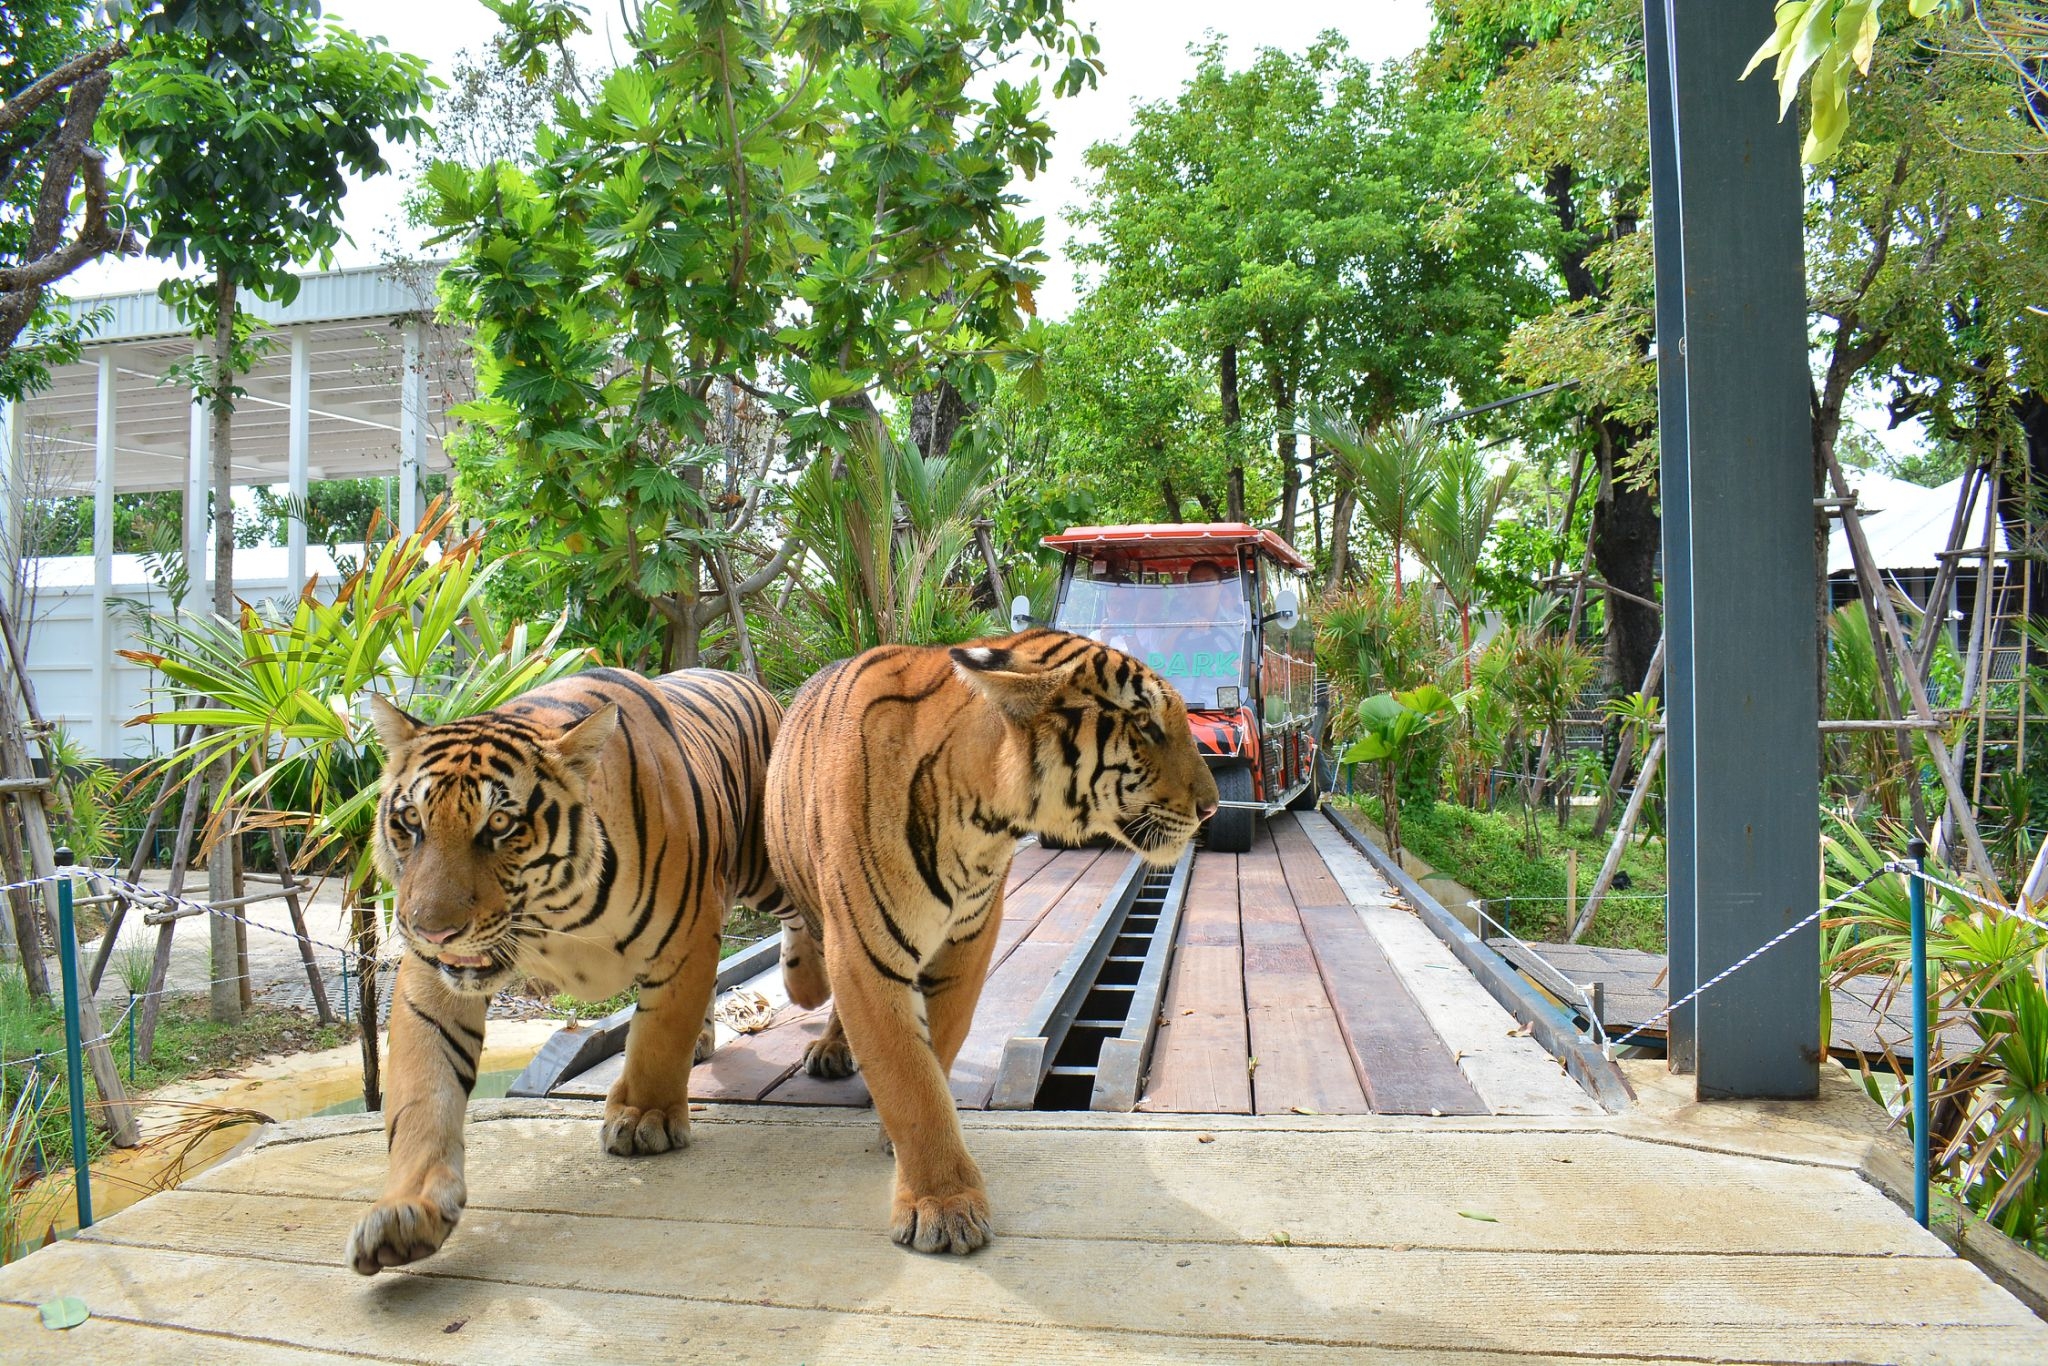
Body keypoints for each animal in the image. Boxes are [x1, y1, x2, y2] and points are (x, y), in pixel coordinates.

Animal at [344, 667, 788, 1276]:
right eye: (412, 820)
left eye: (500, 824)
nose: (431, 931)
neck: (554, 915)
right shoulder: (432, 981)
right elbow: (421, 1094)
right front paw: (408, 1210)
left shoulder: (686, 937)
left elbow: (658, 1037)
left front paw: (644, 1117)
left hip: (776, 872)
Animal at [765, 628, 1220, 1255]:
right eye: (1146, 725)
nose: (1212, 806)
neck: (983, 818)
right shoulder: (864, 950)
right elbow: (908, 1076)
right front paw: (943, 1204)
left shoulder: (968, 944)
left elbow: (936, 1051)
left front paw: (920, 1166)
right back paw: (831, 1044)